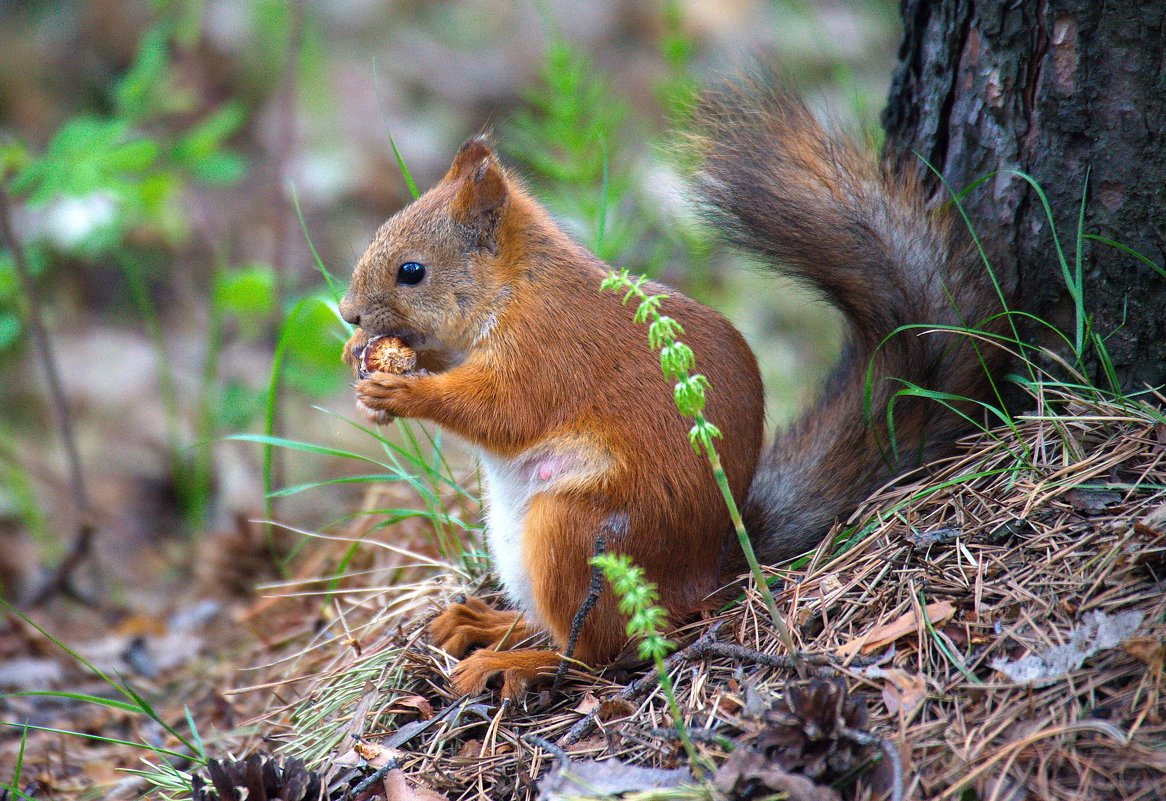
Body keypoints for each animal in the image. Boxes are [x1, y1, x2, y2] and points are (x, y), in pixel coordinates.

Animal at [335, 78, 1002, 699]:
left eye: (412, 271)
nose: (347, 315)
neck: (516, 286)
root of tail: (705, 576)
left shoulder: (550, 351)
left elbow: (503, 411)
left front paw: (404, 394)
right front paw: (360, 357)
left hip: (576, 531)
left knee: (599, 651)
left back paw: (516, 662)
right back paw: (489, 625)